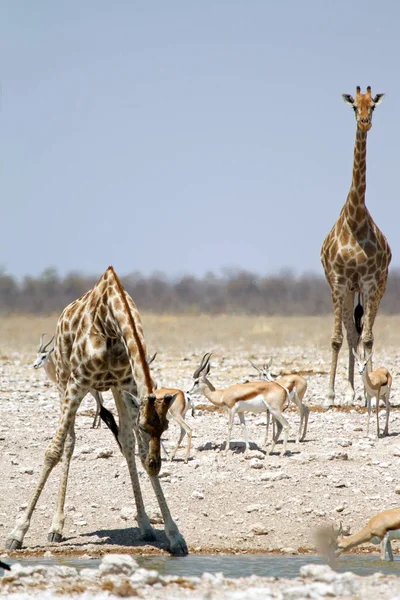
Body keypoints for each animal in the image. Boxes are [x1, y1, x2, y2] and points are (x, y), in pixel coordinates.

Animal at [5, 264, 188, 556]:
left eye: (165, 427)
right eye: (144, 426)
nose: (156, 464)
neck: (110, 323)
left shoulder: (125, 383)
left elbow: (135, 448)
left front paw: (174, 535)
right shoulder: (78, 382)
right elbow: (52, 451)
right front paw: (17, 533)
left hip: (111, 389)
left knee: (124, 443)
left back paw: (145, 524)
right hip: (63, 380)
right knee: (68, 443)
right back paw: (56, 527)